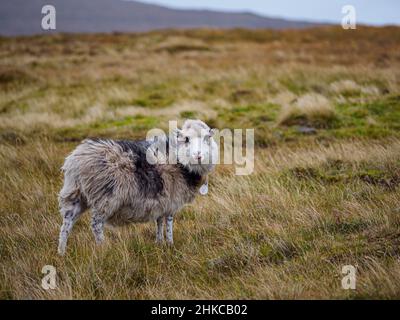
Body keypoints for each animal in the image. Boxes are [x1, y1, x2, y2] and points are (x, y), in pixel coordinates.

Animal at [57, 119, 217, 255]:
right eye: (187, 139)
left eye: (206, 138)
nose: (198, 155)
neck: (179, 161)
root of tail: (76, 160)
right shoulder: (172, 198)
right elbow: (169, 222)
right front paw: (170, 243)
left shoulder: (162, 200)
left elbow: (159, 221)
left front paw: (159, 243)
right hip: (105, 197)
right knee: (96, 224)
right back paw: (103, 248)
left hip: (75, 194)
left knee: (67, 223)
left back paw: (61, 252)